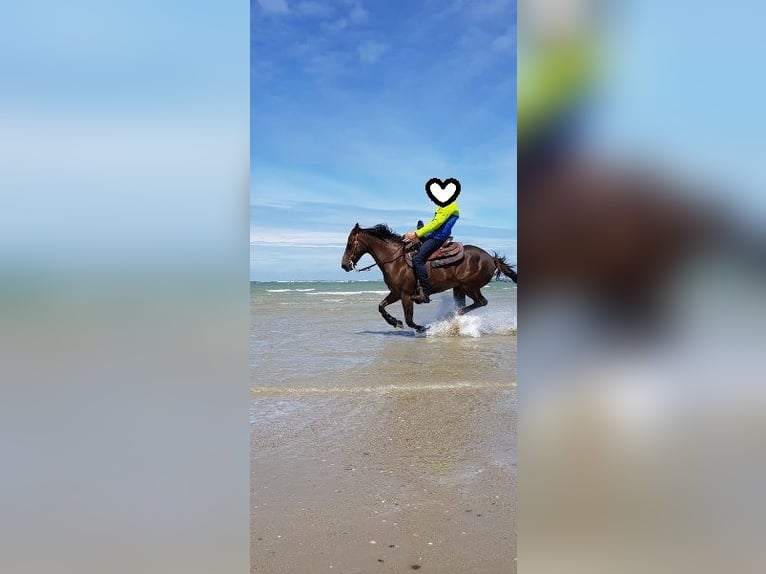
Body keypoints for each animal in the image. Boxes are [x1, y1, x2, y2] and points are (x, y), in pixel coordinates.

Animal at [340, 223, 517, 332]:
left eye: (349, 244)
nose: (344, 265)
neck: (395, 260)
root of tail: (491, 259)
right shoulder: (396, 293)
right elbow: (381, 307)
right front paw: (394, 322)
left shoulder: (405, 295)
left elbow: (409, 319)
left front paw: (422, 328)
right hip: (459, 288)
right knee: (464, 306)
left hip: (470, 287)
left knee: (481, 302)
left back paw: (448, 316)